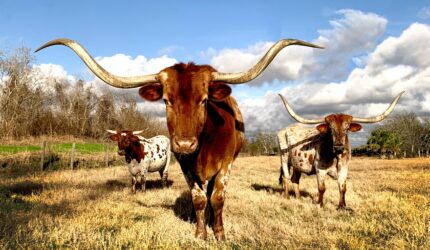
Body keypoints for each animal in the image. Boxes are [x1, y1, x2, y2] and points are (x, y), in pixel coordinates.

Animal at [35, 38, 320, 239]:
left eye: (204, 100)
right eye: (166, 100)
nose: (184, 144)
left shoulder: (226, 165)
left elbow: (217, 199)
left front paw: (219, 233)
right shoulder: (185, 166)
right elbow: (198, 198)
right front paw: (200, 232)